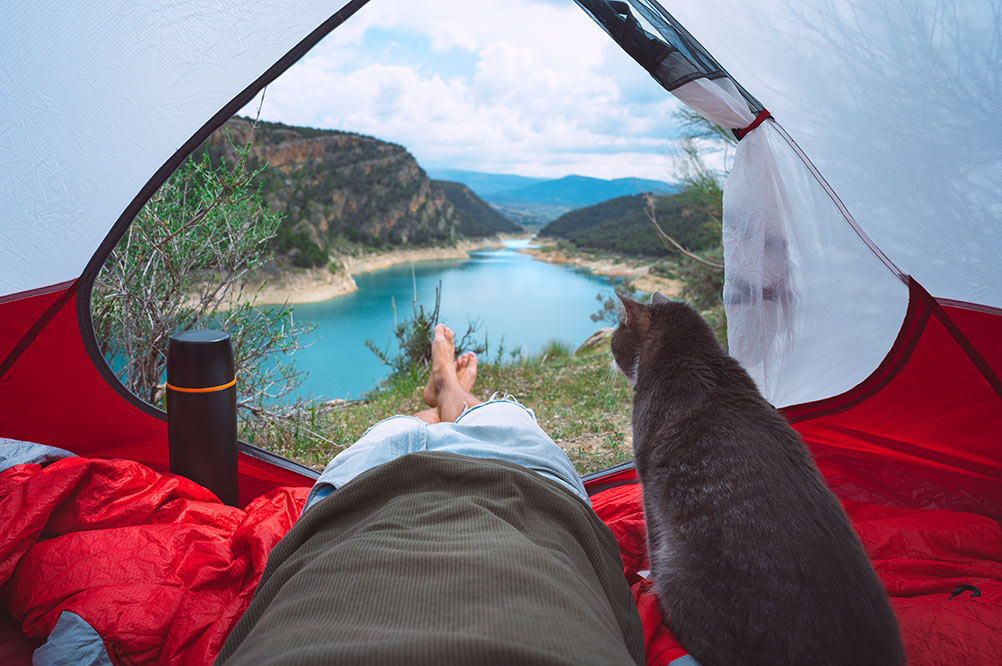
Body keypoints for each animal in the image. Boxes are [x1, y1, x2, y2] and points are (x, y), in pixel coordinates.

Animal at [613, 294, 905, 664]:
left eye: (618, 332)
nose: (610, 353)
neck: (692, 357)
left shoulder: (647, 485)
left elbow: (652, 537)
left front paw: (647, 579)